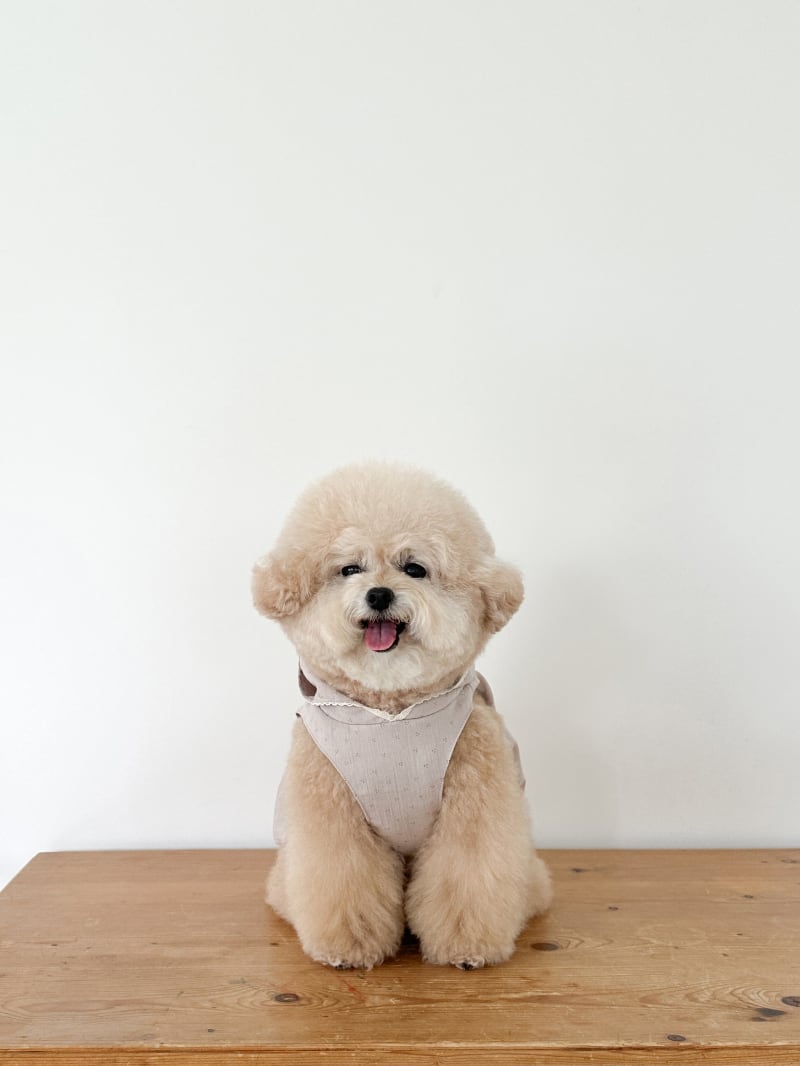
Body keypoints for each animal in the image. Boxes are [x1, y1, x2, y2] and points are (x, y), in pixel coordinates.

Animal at [252, 462, 551, 969]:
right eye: (349, 569)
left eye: (415, 568)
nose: (378, 594)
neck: (391, 715)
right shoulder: (331, 809)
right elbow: (344, 878)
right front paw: (347, 948)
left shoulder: (473, 800)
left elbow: (468, 873)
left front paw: (467, 947)